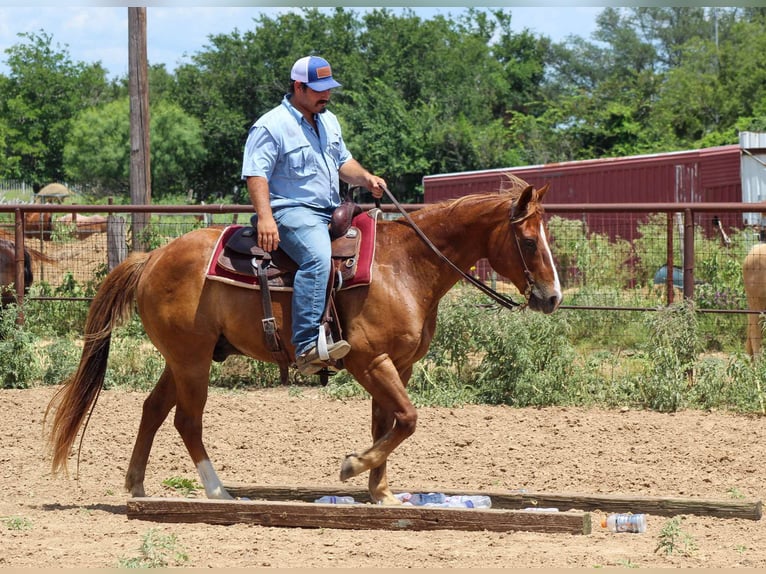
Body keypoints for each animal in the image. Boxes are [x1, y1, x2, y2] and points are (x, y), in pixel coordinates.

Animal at [45, 177, 563, 505]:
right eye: (529, 241)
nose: (553, 297)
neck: (405, 265)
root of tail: (150, 258)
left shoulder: (397, 365)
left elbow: (388, 423)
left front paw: (381, 493)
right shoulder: (369, 361)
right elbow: (408, 419)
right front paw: (352, 467)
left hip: (183, 358)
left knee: (153, 409)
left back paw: (136, 485)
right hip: (192, 361)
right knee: (187, 422)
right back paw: (217, 491)